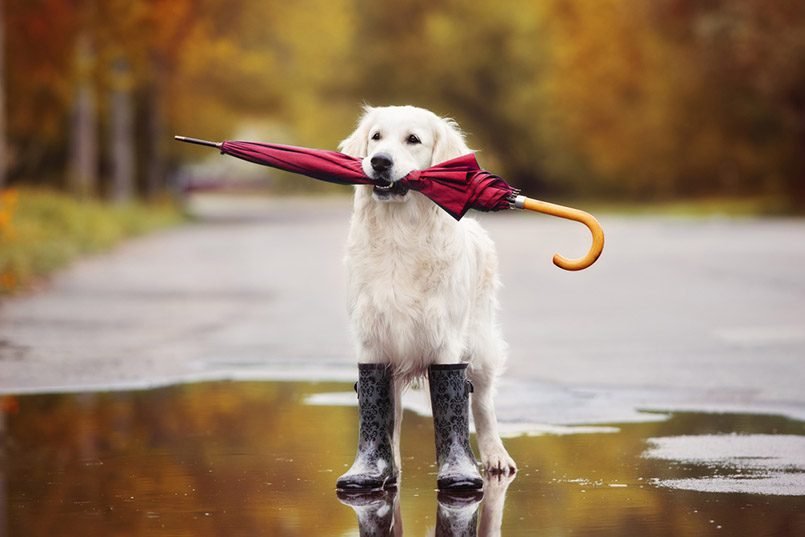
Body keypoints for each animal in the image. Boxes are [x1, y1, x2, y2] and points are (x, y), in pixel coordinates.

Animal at [338, 104, 516, 474]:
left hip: (481, 344)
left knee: (483, 403)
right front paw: (379, 468)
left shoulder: (445, 339)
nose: (379, 161)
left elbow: (454, 402)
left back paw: (496, 456)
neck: (399, 234)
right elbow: (383, 413)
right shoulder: (373, 340)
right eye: (376, 137)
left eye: (413, 139)